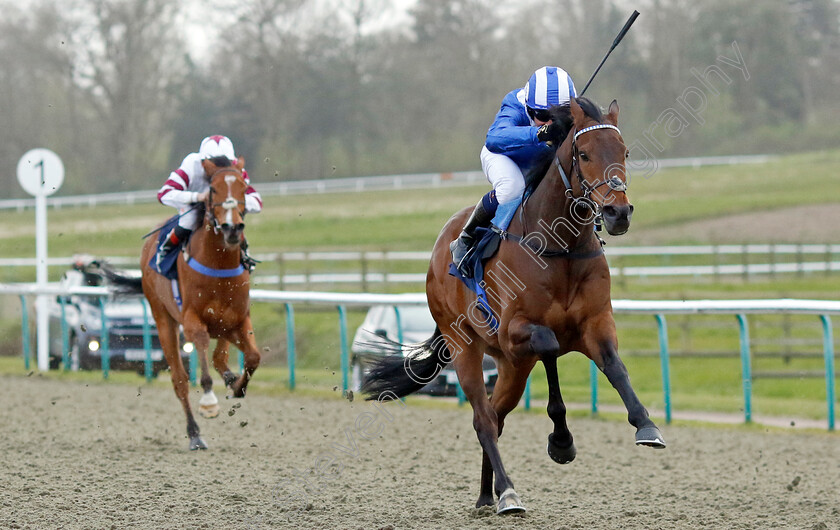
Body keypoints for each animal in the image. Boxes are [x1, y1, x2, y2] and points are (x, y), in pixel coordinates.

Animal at [106, 155, 260, 448]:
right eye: (213, 189)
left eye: (244, 188)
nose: (233, 228)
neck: (218, 264)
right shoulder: (192, 321)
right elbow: (201, 358)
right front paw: (209, 401)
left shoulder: (238, 318)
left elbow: (253, 357)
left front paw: (237, 387)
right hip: (163, 318)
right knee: (179, 380)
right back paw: (195, 434)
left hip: (221, 324)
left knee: (219, 356)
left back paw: (229, 377)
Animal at [364, 96, 668, 512]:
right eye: (584, 154)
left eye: (624, 151)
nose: (617, 213)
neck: (560, 247)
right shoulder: (515, 331)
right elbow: (550, 346)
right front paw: (561, 441)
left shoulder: (595, 322)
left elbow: (614, 366)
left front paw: (646, 425)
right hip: (467, 348)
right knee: (483, 418)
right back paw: (507, 492)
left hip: (511, 366)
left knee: (496, 414)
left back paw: (485, 495)